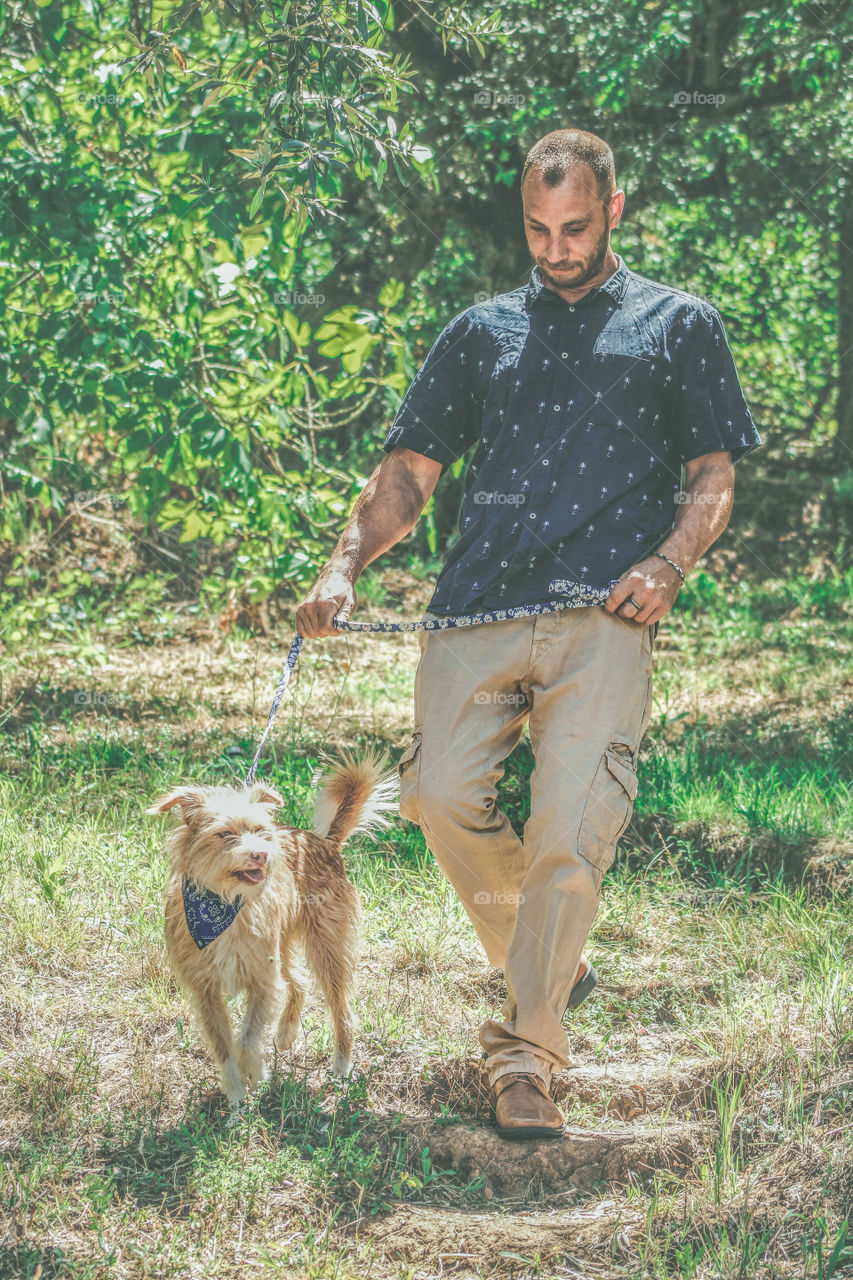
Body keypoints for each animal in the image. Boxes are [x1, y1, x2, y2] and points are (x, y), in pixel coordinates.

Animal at [147, 747, 397, 1111]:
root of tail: (325, 843)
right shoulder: (206, 993)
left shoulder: (263, 983)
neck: (224, 904)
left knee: (343, 1013)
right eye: (225, 834)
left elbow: (248, 1040)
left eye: (260, 830)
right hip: (285, 943)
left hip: (327, 950)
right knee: (301, 981)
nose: (262, 855)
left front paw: (257, 1075)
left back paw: (341, 1068)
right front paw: (237, 1096)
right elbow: (225, 1049)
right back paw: (287, 1032)